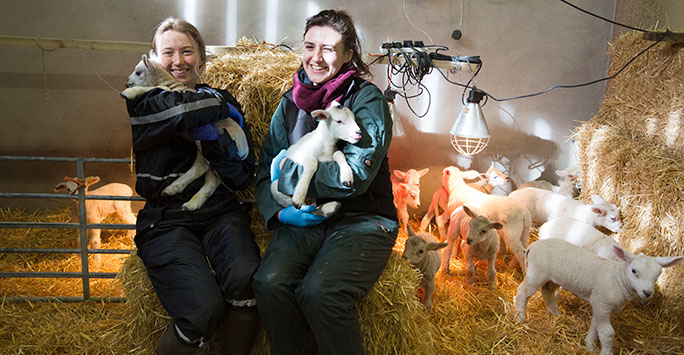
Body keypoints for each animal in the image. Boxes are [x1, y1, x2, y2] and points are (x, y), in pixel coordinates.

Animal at [120, 52, 248, 211]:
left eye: (138, 72)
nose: (127, 83)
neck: (172, 84)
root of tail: (245, 149)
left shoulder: (167, 92)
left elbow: (155, 88)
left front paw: (129, 93)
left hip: (207, 146)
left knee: (205, 171)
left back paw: (182, 196)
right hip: (204, 150)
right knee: (206, 174)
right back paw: (181, 195)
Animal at [516, 236, 680, 355]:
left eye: (658, 274)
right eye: (634, 271)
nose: (647, 293)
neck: (618, 279)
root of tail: (532, 245)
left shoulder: (599, 305)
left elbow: (595, 326)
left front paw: (589, 344)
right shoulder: (603, 304)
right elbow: (607, 333)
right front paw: (605, 352)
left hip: (552, 278)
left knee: (548, 291)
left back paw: (555, 313)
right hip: (536, 273)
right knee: (522, 293)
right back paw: (520, 317)